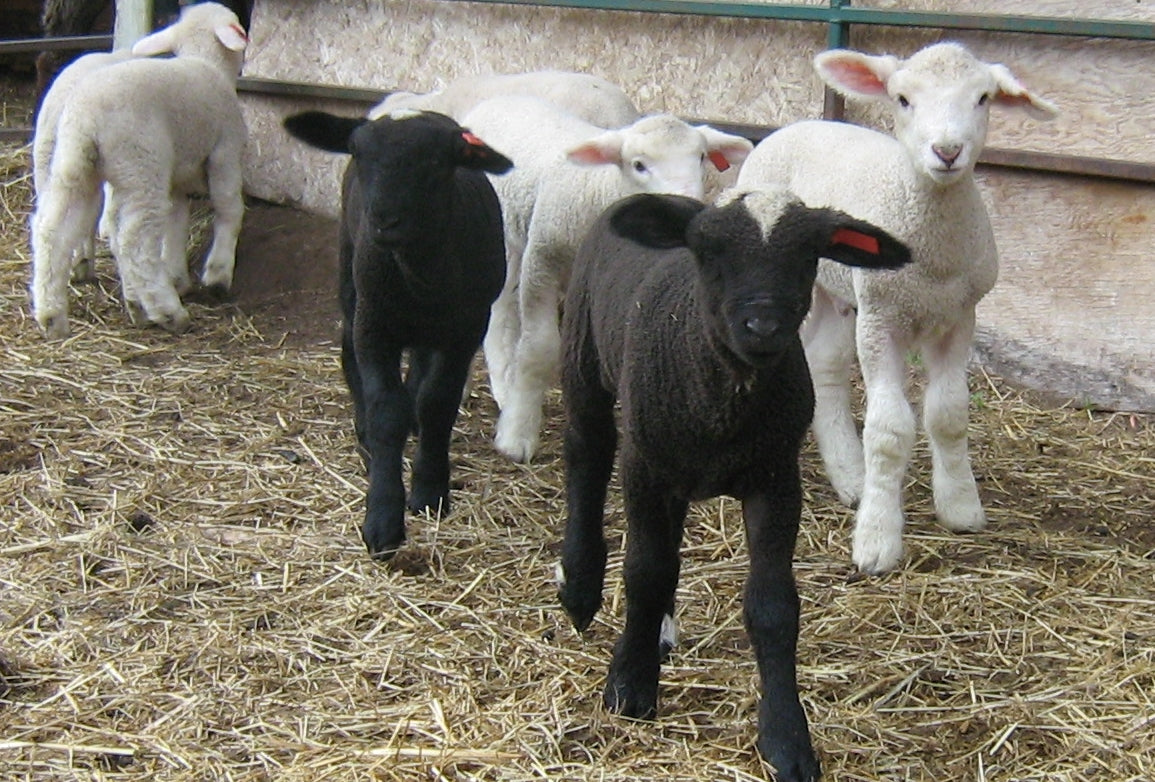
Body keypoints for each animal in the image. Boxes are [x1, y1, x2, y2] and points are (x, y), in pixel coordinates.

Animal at [29, 2, 248, 339]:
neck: (205, 62)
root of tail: (86, 118)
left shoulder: (177, 177)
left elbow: (176, 222)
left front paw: (177, 275)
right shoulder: (225, 152)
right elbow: (229, 208)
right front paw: (217, 275)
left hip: (71, 164)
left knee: (54, 230)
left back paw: (55, 314)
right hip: (140, 164)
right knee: (132, 240)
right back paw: (166, 311)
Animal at [282, 108, 513, 559]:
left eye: (438, 161)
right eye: (357, 151)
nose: (384, 219)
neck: (420, 277)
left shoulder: (465, 330)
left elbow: (437, 403)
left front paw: (430, 490)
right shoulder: (374, 328)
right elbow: (386, 411)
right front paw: (383, 522)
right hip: (350, 278)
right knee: (348, 355)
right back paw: (366, 439)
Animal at [460, 95, 754, 463]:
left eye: (701, 157)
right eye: (639, 165)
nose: (686, 205)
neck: (599, 187)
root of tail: (501, 97)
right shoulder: (542, 259)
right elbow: (539, 348)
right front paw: (517, 436)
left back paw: (502, 383)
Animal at [556, 188, 911, 781]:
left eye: (809, 255)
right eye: (707, 250)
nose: (763, 326)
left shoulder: (775, 479)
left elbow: (772, 605)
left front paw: (787, 739)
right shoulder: (644, 466)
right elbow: (644, 572)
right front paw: (630, 685)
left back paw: (660, 630)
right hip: (584, 358)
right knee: (586, 457)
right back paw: (580, 588)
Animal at [736, 42, 1057, 574]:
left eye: (983, 98)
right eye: (903, 99)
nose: (947, 151)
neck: (930, 255)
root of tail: (797, 125)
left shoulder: (959, 316)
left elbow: (948, 414)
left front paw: (960, 506)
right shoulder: (881, 317)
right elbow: (888, 431)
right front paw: (877, 540)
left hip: (838, 292)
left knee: (825, 365)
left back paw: (850, 476)